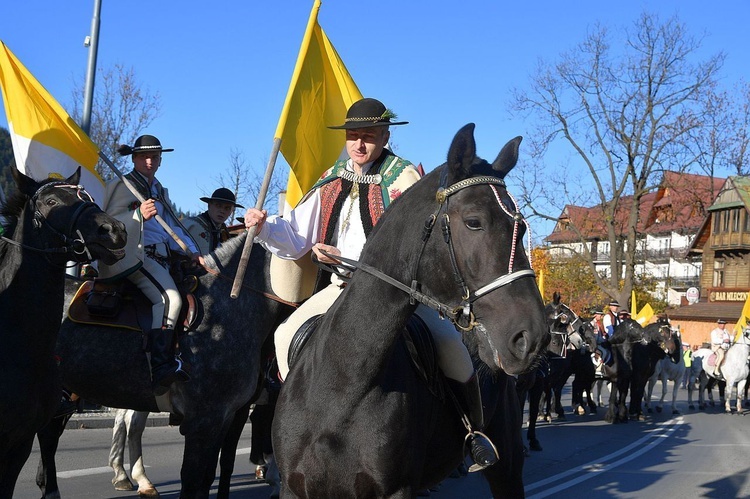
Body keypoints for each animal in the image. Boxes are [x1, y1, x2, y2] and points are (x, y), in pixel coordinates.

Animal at [274, 124, 548, 496]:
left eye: (521, 229)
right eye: (474, 222)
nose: (532, 337)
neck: (341, 385)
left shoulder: (397, 490)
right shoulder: (294, 487)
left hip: (506, 466)